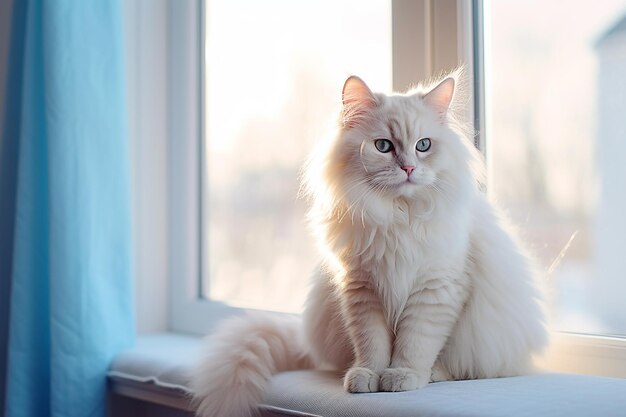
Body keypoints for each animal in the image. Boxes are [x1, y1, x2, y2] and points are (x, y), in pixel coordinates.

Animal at [190, 73, 544, 414]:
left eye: (424, 145)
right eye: (383, 146)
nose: (409, 167)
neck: (398, 217)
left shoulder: (434, 290)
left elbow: (414, 343)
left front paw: (402, 376)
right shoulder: (363, 291)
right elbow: (372, 345)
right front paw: (368, 377)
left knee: (465, 367)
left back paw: (432, 374)